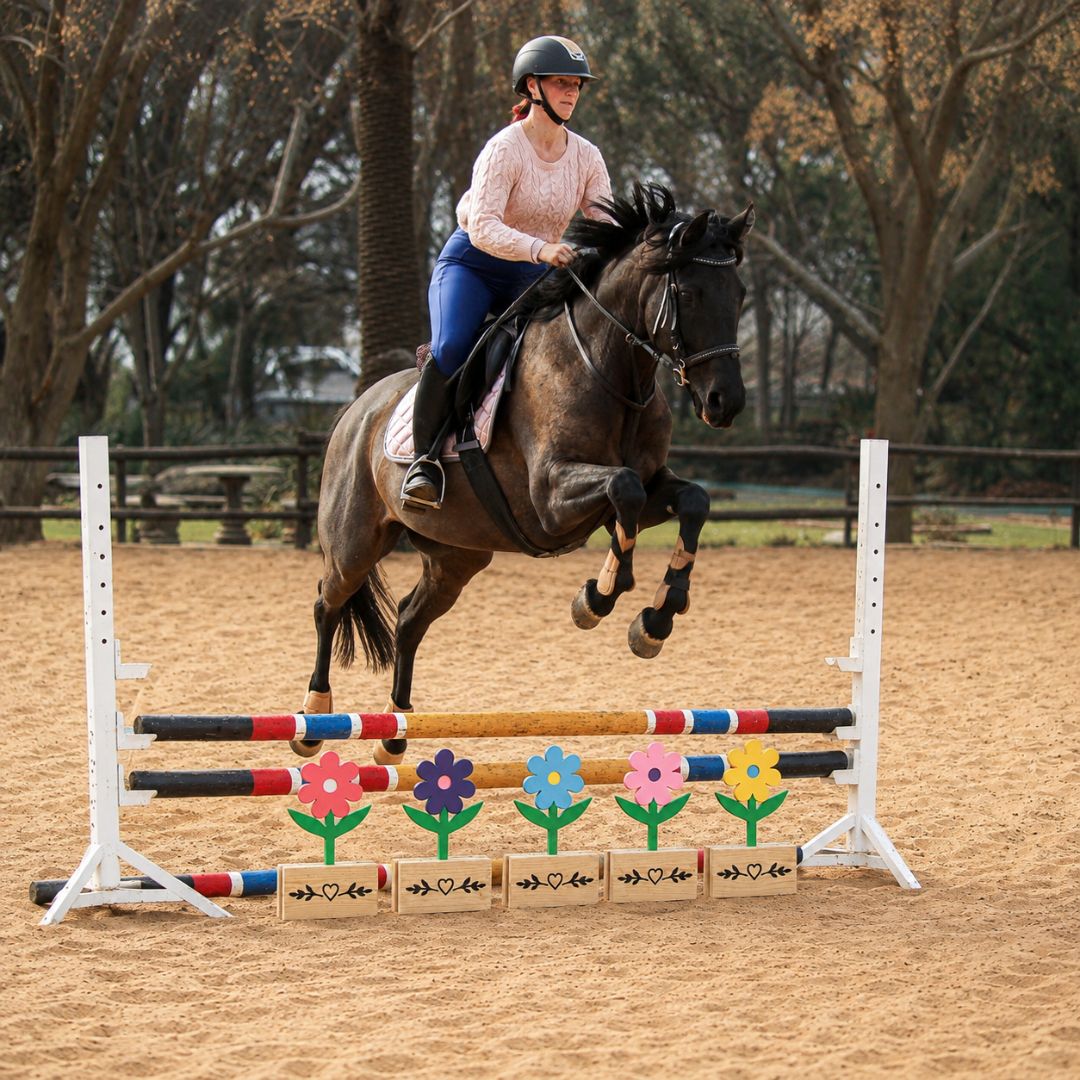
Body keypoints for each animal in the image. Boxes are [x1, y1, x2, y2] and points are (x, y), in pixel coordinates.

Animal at [298, 182, 753, 762]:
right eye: (690, 294)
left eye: (739, 295)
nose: (725, 403)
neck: (610, 370)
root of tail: (355, 411)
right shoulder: (552, 500)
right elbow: (622, 489)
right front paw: (599, 595)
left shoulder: (649, 488)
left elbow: (692, 500)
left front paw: (656, 619)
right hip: (355, 542)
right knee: (327, 603)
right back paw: (314, 717)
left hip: (456, 556)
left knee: (407, 620)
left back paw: (394, 736)